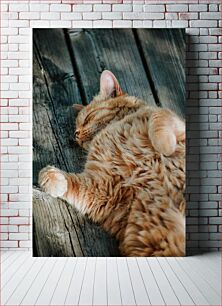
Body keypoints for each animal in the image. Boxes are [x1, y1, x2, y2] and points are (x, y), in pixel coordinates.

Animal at [38, 69, 186, 256]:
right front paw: (53, 179)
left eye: (87, 118)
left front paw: (164, 146)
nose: (76, 134)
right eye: (77, 127)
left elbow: (158, 117)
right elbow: (72, 183)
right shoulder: (104, 189)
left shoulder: (176, 123)